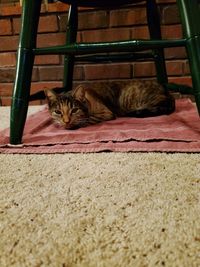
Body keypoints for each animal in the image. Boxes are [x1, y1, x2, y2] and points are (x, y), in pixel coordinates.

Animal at [43, 79, 175, 130]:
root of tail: (167, 92)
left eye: (74, 110)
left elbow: (87, 119)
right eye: (58, 112)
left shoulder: (106, 113)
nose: (66, 121)